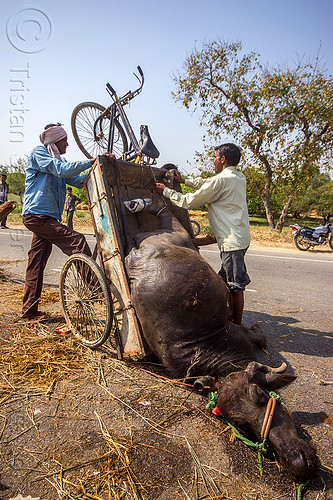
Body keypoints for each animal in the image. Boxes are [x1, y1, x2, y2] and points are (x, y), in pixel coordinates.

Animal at [124, 199, 316, 480]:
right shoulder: (240, 334)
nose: (297, 462)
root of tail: (143, 252)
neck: (214, 352)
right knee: (165, 216)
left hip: (174, 234)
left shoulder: (240, 334)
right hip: (176, 233)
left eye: (261, 394)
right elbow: (259, 336)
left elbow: (259, 338)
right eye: (240, 423)